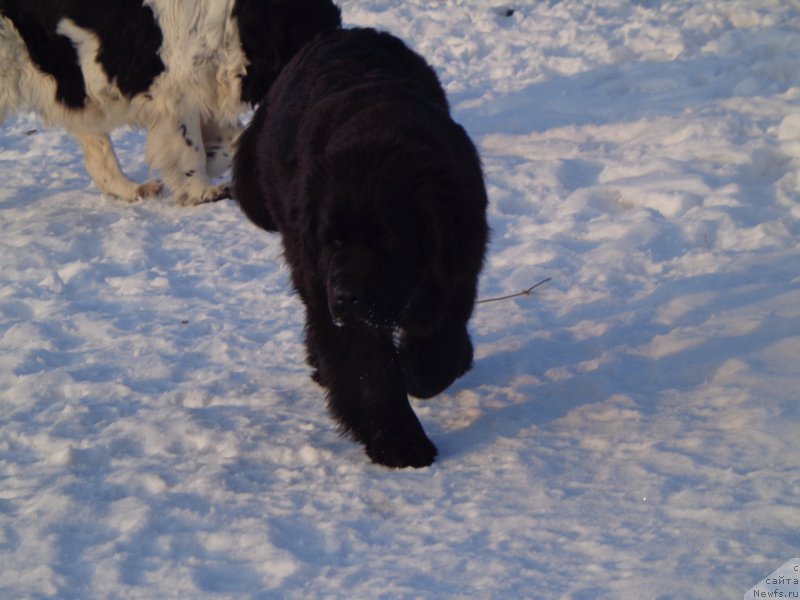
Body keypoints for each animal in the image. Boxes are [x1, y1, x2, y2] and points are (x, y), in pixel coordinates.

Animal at [0, 0, 340, 205]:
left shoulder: (202, 88)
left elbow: (230, 139)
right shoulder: (176, 96)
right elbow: (190, 149)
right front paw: (203, 191)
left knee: (100, 157)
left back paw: (134, 188)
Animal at [233, 28, 488, 468]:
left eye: (385, 238)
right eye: (332, 240)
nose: (347, 296)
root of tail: (338, 32)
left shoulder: (458, 266)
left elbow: (440, 339)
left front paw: (429, 369)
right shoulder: (331, 291)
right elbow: (370, 375)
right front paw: (402, 444)